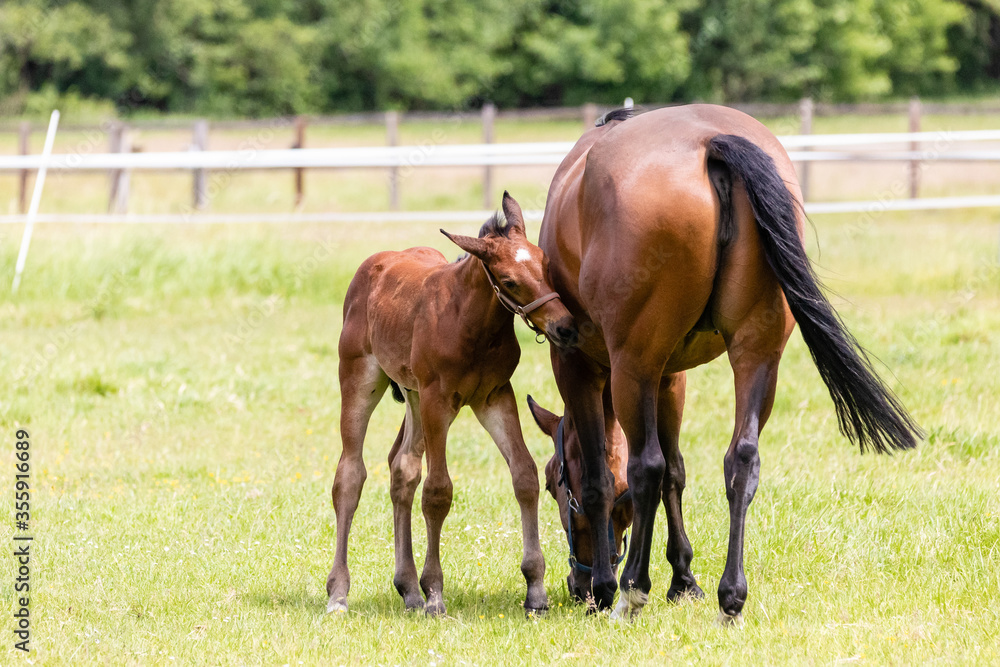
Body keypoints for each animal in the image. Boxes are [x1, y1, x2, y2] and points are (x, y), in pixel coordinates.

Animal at [326, 192, 578, 617]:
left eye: (546, 265)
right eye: (509, 281)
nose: (565, 327)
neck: (470, 322)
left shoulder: (495, 396)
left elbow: (524, 475)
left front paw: (536, 590)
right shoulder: (437, 400)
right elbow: (438, 491)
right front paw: (435, 594)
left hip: (412, 395)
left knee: (402, 468)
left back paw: (407, 588)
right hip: (361, 377)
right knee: (350, 473)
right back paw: (339, 593)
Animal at [538, 104, 922, 623]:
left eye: (552, 483)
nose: (576, 585)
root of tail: (711, 142)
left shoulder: (582, 366)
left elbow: (604, 477)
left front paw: (605, 587)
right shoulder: (671, 376)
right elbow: (678, 471)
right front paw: (684, 578)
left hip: (634, 366)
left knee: (646, 466)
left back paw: (631, 591)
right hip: (756, 355)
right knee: (741, 459)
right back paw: (730, 595)